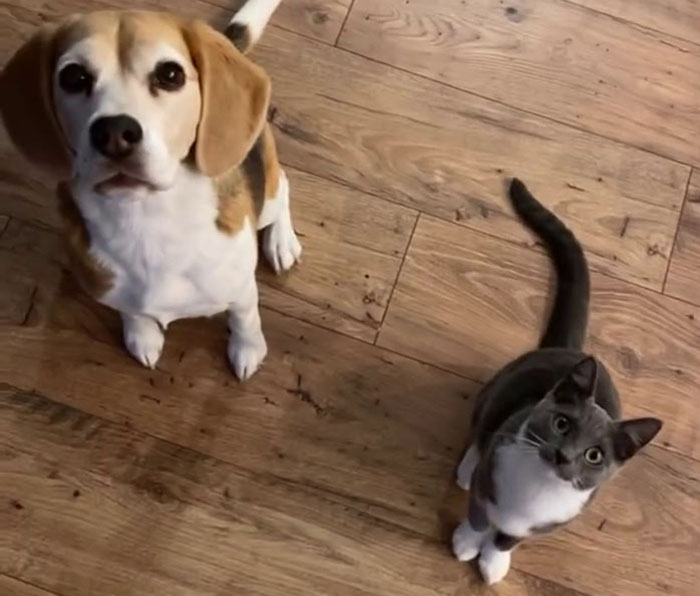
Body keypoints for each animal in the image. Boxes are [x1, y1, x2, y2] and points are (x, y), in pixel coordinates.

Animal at [0, 0, 298, 380]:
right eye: (73, 77)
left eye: (171, 75)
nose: (114, 133)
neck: (148, 220)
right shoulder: (115, 291)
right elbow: (133, 312)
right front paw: (142, 335)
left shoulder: (242, 289)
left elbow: (245, 318)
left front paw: (248, 349)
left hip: (269, 196)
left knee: (283, 189)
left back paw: (281, 242)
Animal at [454, 179, 660, 584]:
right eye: (562, 423)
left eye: (595, 455)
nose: (564, 455)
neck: (539, 486)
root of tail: (569, 350)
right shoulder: (492, 477)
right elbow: (479, 514)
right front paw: (468, 543)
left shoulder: (551, 523)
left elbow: (509, 538)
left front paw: (494, 560)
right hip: (498, 390)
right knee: (481, 428)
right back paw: (467, 467)